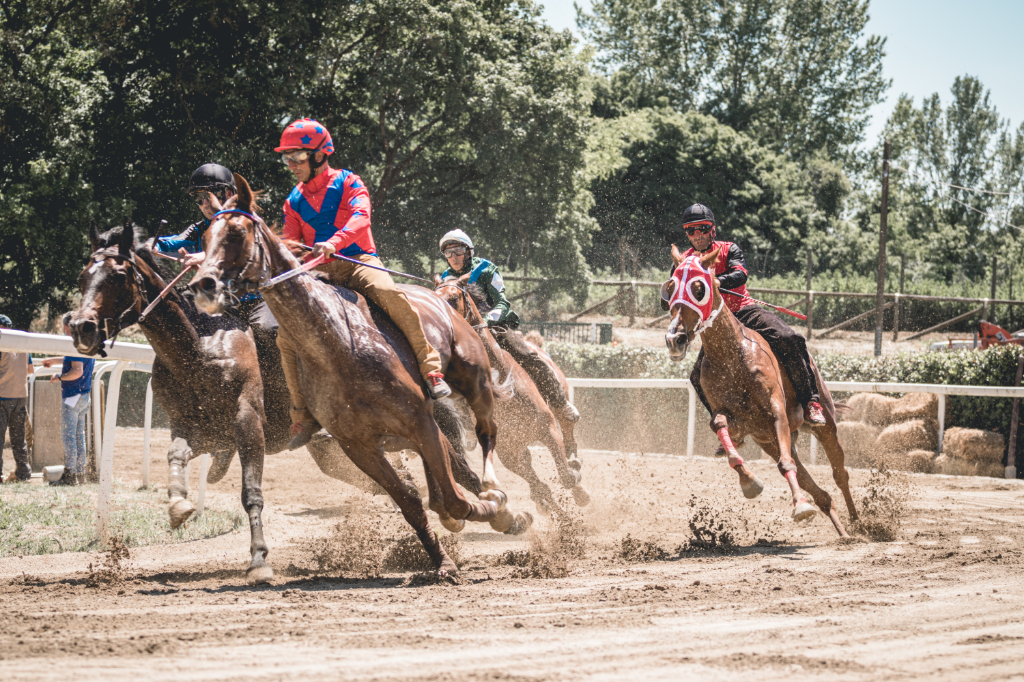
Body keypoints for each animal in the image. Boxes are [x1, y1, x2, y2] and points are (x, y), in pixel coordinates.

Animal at [191, 173, 524, 569]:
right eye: (205, 238)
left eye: (237, 233)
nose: (203, 284)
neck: (338, 348)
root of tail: (443, 299)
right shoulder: (358, 445)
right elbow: (413, 502)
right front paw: (441, 561)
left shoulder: (419, 420)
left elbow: (454, 497)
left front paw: (497, 510)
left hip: (475, 383)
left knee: (486, 434)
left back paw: (496, 493)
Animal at [434, 272, 593, 516]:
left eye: (453, 298)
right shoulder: (508, 453)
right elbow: (544, 487)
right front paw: (563, 520)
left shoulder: (547, 428)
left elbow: (566, 475)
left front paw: (577, 485)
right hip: (518, 448)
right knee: (539, 482)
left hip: (558, 404)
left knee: (568, 434)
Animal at [659, 245, 860, 536]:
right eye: (671, 287)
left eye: (698, 288)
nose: (675, 339)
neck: (732, 355)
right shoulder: (742, 421)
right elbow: (720, 426)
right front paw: (748, 481)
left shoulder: (776, 412)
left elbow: (786, 464)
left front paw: (801, 506)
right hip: (772, 442)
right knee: (820, 492)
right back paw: (843, 531)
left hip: (826, 425)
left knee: (839, 473)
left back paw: (859, 524)